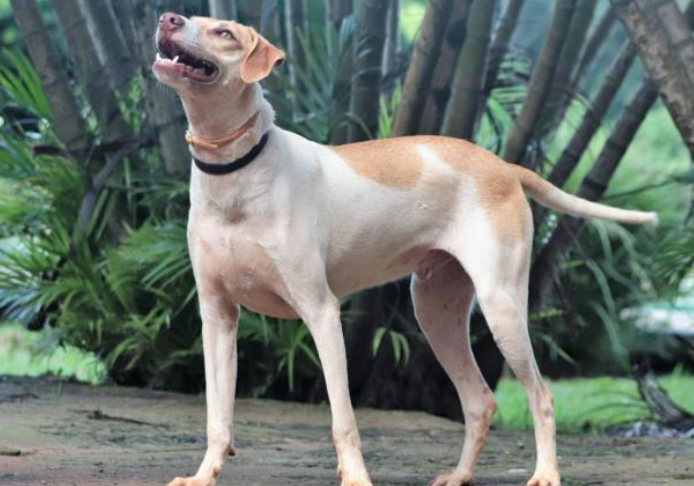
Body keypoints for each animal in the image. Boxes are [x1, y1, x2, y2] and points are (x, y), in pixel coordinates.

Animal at [152, 12, 656, 486]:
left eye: (224, 33)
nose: (167, 18)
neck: (237, 171)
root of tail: (503, 166)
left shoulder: (321, 312)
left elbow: (343, 418)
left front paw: (355, 477)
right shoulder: (217, 316)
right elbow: (218, 418)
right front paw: (203, 475)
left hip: (502, 308)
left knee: (541, 396)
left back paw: (546, 472)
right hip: (435, 313)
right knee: (480, 401)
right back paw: (459, 475)